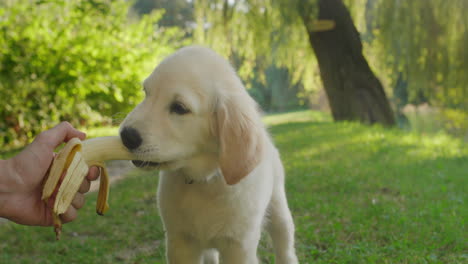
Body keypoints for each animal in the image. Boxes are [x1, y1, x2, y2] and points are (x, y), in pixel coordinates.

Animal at [119, 46, 296, 262]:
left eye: (179, 108)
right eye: (146, 93)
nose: (126, 135)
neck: (204, 182)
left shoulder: (239, 245)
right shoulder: (180, 241)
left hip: (278, 208)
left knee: (285, 246)